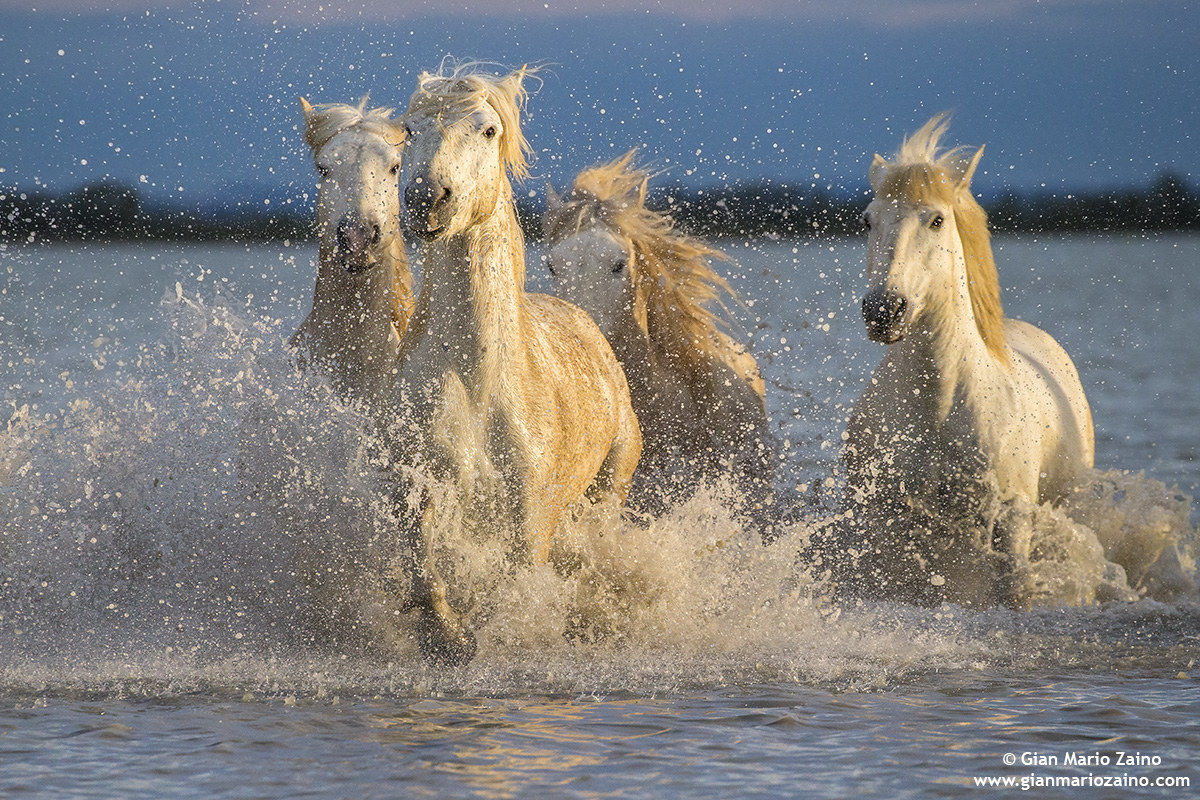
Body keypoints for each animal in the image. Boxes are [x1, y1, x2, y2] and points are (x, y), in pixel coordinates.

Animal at [391, 63, 642, 664]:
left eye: (487, 130)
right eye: (409, 130)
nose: (427, 198)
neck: (477, 381)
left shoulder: (530, 520)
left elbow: (513, 589)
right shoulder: (416, 485)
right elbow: (423, 572)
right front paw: (447, 636)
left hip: (610, 486)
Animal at [841, 115, 1095, 607]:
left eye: (937, 219)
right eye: (867, 220)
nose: (884, 310)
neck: (938, 407)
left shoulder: (1011, 523)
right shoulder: (883, 522)